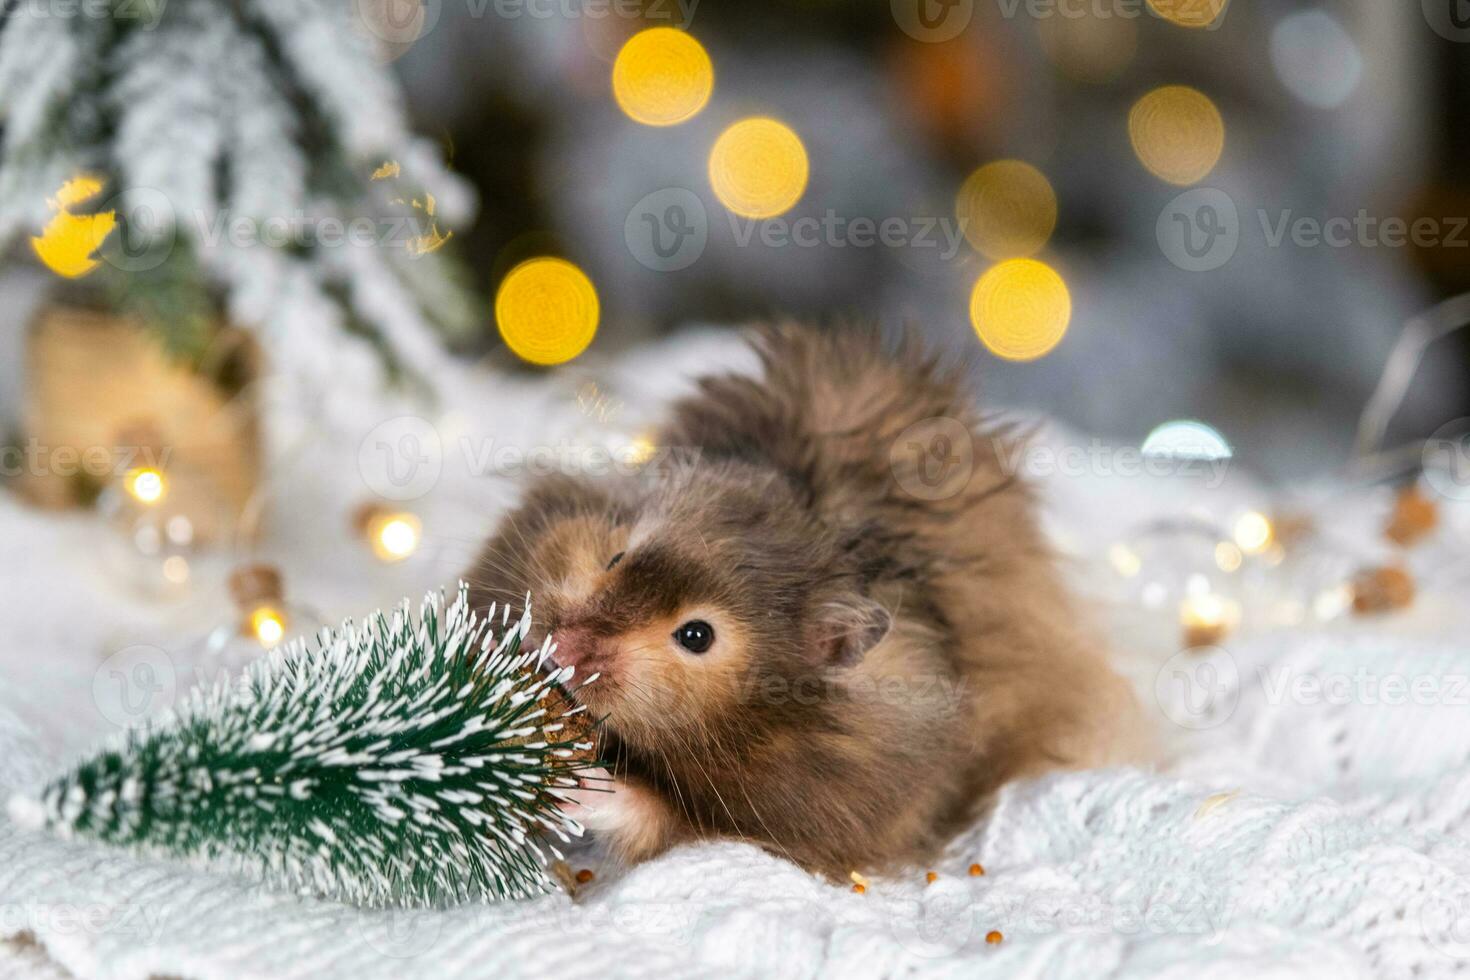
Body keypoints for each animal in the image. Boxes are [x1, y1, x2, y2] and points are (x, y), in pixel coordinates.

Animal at [464, 326, 1140, 875]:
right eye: (615, 558)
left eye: (697, 636)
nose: (561, 649)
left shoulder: (817, 812)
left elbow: (667, 820)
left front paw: (581, 787)